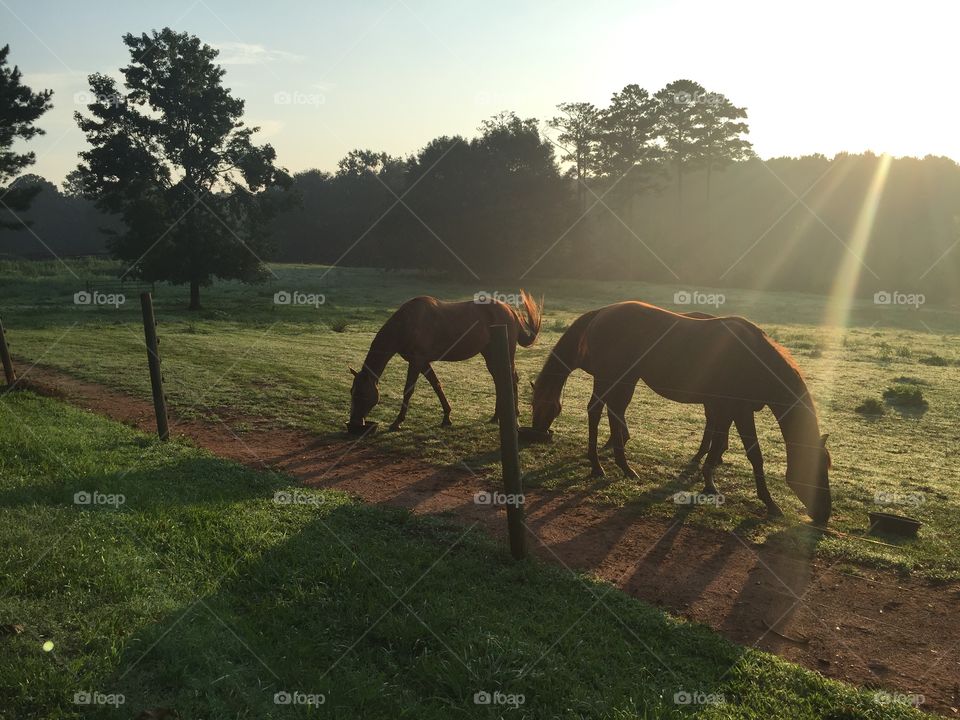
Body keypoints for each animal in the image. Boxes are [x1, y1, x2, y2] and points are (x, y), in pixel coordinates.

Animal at [349, 291, 542, 432]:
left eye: (361, 394)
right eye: (352, 392)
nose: (355, 423)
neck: (408, 323)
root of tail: (510, 311)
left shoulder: (416, 361)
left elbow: (408, 390)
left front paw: (397, 422)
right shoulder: (423, 362)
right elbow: (437, 385)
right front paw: (447, 417)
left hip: (505, 354)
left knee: (511, 380)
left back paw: (515, 419)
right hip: (491, 355)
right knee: (500, 381)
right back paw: (496, 417)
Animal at [526, 302, 832, 523]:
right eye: (817, 468)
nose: (824, 514)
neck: (756, 358)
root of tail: (602, 315)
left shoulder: (726, 407)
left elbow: (719, 440)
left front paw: (709, 479)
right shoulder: (739, 409)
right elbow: (753, 454)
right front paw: (769, 503)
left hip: (624, 378)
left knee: (612, 413)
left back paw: (621, 465)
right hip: (610, 377)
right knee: (597, 411)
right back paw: (599, 465)